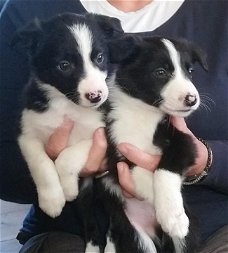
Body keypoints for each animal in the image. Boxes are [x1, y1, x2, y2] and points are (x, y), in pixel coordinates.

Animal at [14, 12, 124, 217]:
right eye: (64, 65)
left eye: (99, 58)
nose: (96, 96)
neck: (66, 105)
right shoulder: (27, 134)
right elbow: (41, 164)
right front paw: (52, 200)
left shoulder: (103, 135)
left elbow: (67, 157)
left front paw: (68, 189)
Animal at [84, 36, 208, 253]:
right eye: (160, 72)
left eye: (190, 72)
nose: (192, 100)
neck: (143, 112)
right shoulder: (115, 153)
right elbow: (141, 172)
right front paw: (167, 208)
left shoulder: (184, 142)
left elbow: (163, 170)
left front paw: (172, 214)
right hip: (137, 238)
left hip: (185, 238)